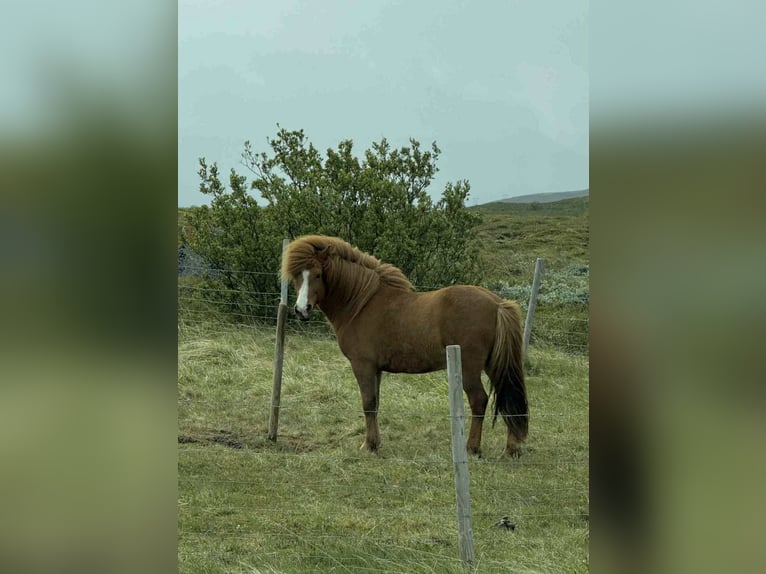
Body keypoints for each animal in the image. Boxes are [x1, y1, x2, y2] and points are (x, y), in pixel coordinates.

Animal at [281, 235, 528, 457]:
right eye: (296, 276)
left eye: (318, 274)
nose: (301, 310)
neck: (361, 303)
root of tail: (497, 303)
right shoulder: (376, 369)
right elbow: (375, 403)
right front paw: (375, 443)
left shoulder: (363, 366)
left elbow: (367, 403)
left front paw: (368, 446)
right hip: (494, 365)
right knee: (508, 399)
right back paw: (511, 449)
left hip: (469, 369)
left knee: (479, 401)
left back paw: (472, 448)